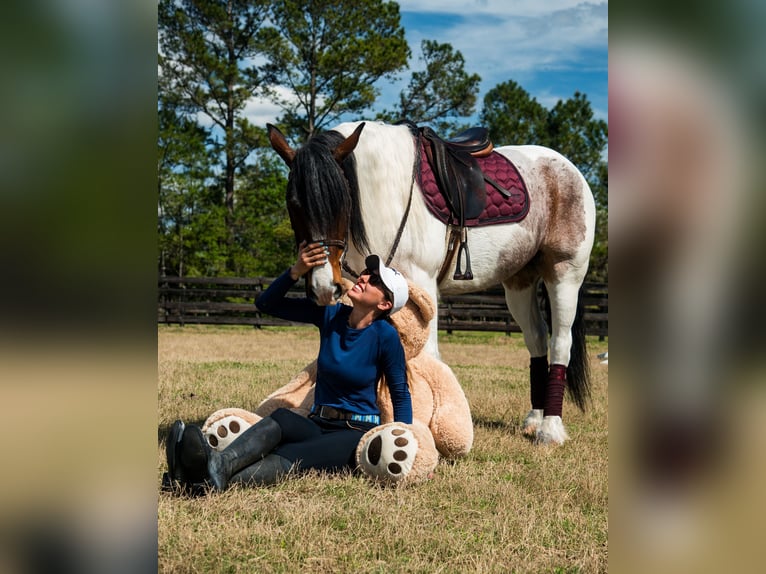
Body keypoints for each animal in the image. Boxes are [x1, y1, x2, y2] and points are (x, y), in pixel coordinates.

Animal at [270, 120, 600, 446]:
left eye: (341, 201)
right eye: (293, 204)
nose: (323, 287)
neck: (382, 193)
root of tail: (568, 170)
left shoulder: (421, 282)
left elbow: (426, 359)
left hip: (564, 274)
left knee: (560, 343)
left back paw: (551, 429)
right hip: (519, 281)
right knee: (537, 339)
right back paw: (534, 420)